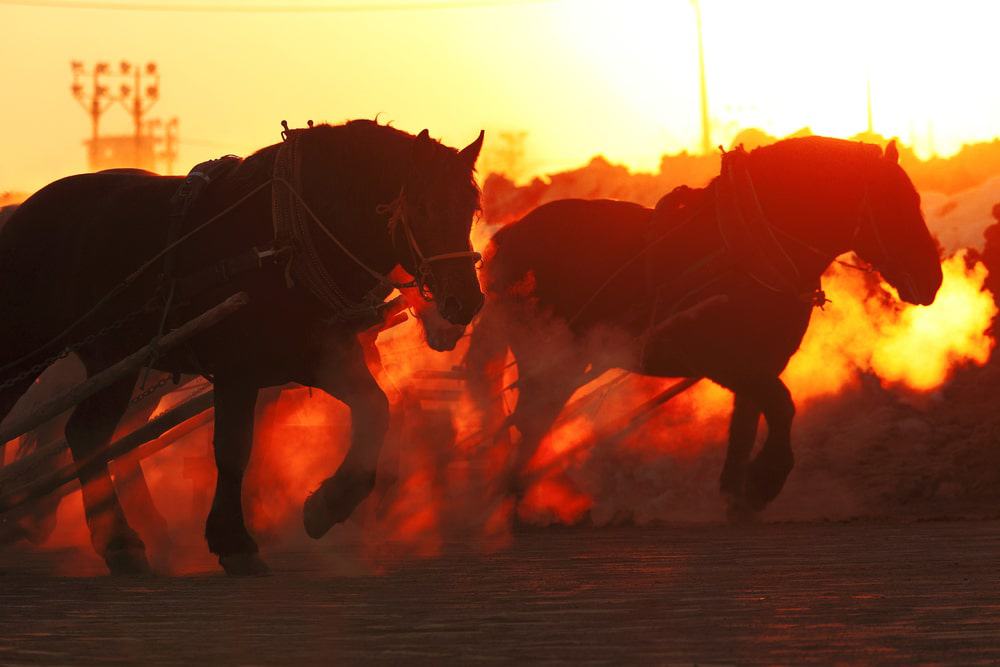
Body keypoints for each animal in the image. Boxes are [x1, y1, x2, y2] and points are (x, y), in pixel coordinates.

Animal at [0, 119, 485, 575]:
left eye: (471, 209)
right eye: (423, 208)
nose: (465, 303)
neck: (288, 238)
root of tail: (22, 211)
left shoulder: (318, 354)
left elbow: (377, 408)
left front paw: (330, 504)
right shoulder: (239, 367)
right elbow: (235, 448)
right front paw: (237, 540)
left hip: (117, 358)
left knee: (91, 433)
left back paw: (124, 539)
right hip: (36, 351)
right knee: (86, 432)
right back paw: (115, 539)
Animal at [463, 137, 943, 519]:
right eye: (894, 203)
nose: (933, 280)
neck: (753, 246)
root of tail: (511, 237)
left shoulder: (759, 367)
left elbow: (746, 428)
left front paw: (738, 496)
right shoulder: (724, 362)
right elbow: (783, 408)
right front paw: (765, 481)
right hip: (549, 361)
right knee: (530, 424)